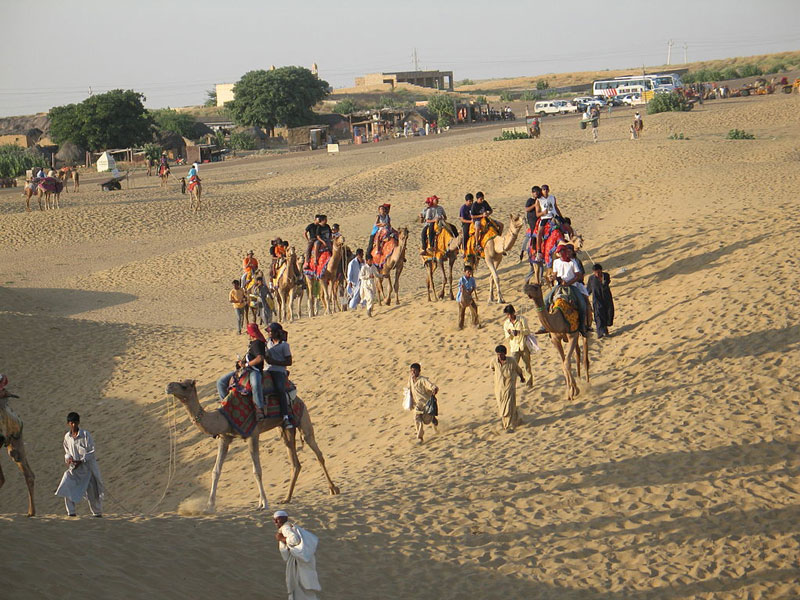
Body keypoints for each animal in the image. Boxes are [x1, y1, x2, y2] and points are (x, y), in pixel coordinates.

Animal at [164, 380, 340, 510]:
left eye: (184, 385)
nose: (169, 386)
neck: (223, 418)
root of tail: (298, 398)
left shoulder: (252, 435)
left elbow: (257, 471)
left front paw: (264, 503)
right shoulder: (225, 438)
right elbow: (216, 471)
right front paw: (209, 506)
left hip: (303, 418)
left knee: (317, 452)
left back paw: (333, 489)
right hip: (284, 428)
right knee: (295, 462)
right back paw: (286, 498)